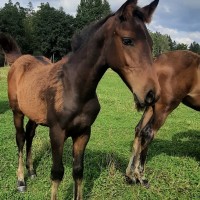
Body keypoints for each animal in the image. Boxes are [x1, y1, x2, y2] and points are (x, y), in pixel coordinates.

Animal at [0, 0, 159, 199]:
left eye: (151, 43)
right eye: (127, 40)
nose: (151, 94)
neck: (75, 87)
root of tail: (19, 60)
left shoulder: (83, 132)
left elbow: (78, 171)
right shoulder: (57, 132)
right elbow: (57, 173)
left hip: (34, 114)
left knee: (30, 134)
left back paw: (32, 171)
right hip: (17, 112)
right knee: (21, 138)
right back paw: (21, 180)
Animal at [126, 50, 200, 188]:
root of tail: (157, 60)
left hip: (151, 106)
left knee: (139, 130)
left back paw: (130, 175)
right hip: (164, 108)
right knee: (148, 133)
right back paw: (141, 177)